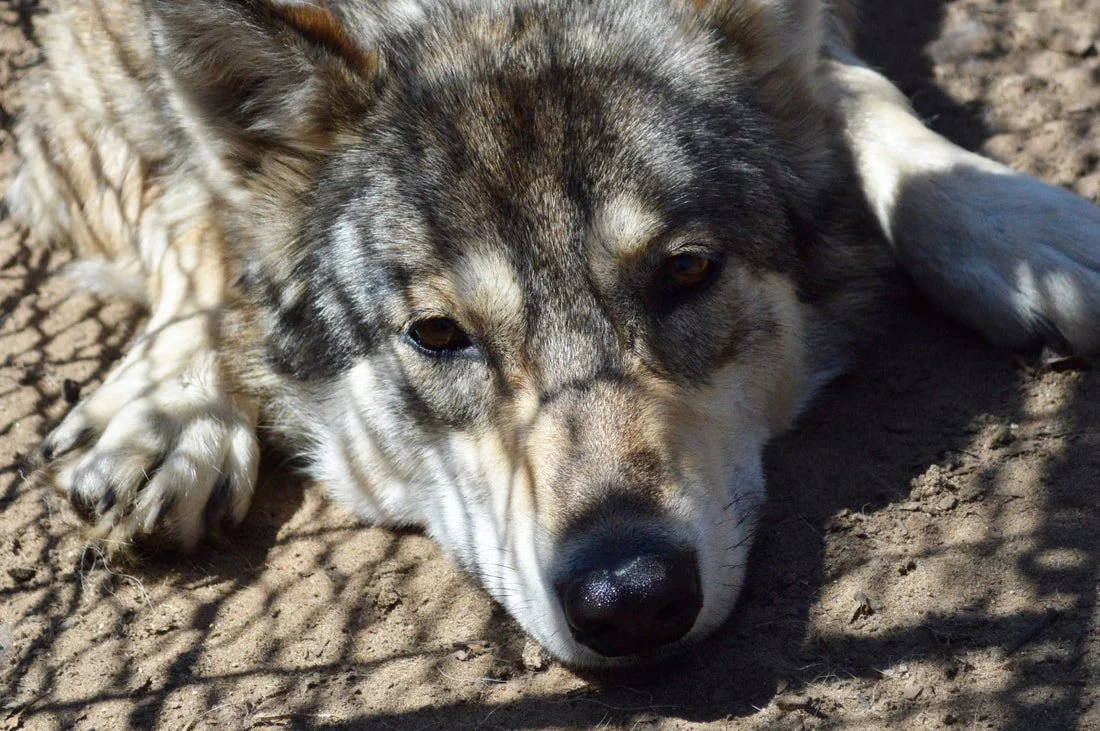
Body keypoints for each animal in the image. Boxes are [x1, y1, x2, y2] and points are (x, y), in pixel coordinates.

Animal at [10, 0, 1100, 667]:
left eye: (685, 272)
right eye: (436, 332)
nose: (630, 593)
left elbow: (857, 90)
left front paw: (1021, 228)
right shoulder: (78, 78)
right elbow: (192, 203)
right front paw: (170, 405)